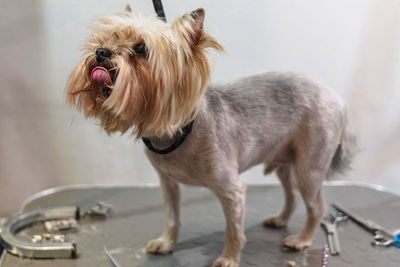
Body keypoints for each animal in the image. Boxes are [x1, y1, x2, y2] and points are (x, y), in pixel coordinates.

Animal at [67, 6, 354, 267]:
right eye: (107, 38)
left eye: (140, 48)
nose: (101, 52)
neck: (179, 130)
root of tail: (338, 101)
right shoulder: (167, 182)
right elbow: (172, 217)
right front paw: (166, 243)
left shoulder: (231, 190)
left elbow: (234, 231)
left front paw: (229, 258)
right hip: (285, 160)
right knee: (291, 193)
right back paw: (281, 220)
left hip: (310, 164)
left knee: (316, 206)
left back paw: (302, 240)